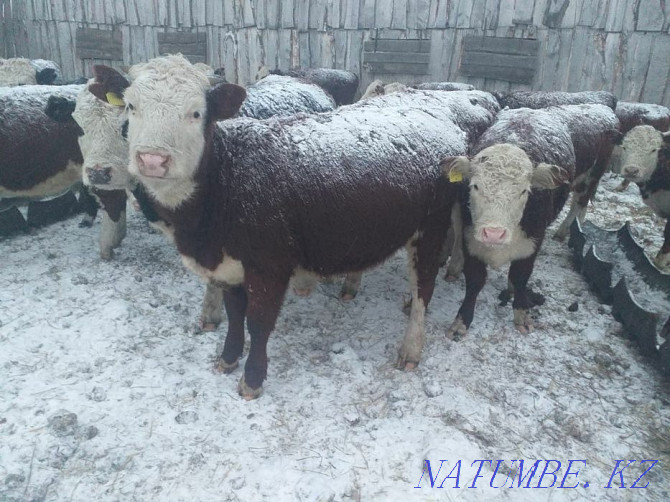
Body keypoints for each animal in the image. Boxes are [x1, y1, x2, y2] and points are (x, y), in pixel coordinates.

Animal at [114, 55, 498, 398]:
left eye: (196, 113)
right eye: (131, 107)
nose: (152, 159)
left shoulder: (270, 266)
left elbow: (258, 322)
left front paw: (252, 380)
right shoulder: (229, 265)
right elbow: (235, 315)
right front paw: (227, 358)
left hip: (430, 229)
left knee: (424, 288)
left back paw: (411, 348)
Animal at [440, 104, 620, 340]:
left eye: (524, 191)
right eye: (475, 186)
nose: (494, 233)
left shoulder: (532, 243)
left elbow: (520, 277)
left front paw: (521, 315)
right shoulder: (470, 240)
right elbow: (474, 281)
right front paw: (461, 321)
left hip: (593, 175)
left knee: (580, 203)